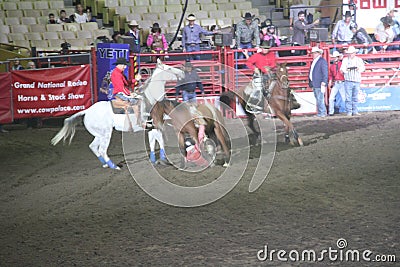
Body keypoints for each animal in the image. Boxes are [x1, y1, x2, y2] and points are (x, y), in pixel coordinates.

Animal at [50, 59, 186, 171]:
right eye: (169, 68)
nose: (181, 73)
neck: (150, 100)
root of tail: (87, 111)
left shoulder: (151, 127)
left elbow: (153, 142)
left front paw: (154, 160)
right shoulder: (156, 125)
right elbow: (161, 141)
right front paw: (164, 160)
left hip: (99, 134)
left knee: (93, 146)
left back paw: (105, 164)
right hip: (106, 133)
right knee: (102, 150)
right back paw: (114, 166)